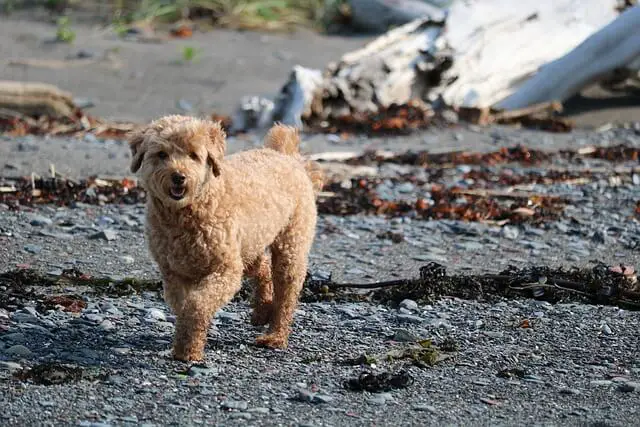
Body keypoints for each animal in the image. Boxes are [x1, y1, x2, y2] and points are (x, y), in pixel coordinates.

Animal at [127, 115, 322, 362]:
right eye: (161, 154)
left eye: (194, 155)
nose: (179, 177)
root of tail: (287, 156)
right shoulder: (173, 273)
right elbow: (183, 306)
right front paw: (185, 346)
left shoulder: (224, 270)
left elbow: (196, 305)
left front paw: (188, 351)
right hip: (249, 244)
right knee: (262, 269)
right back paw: (262, 311)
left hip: (290, 245)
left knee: (286, 294)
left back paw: (275, 335)